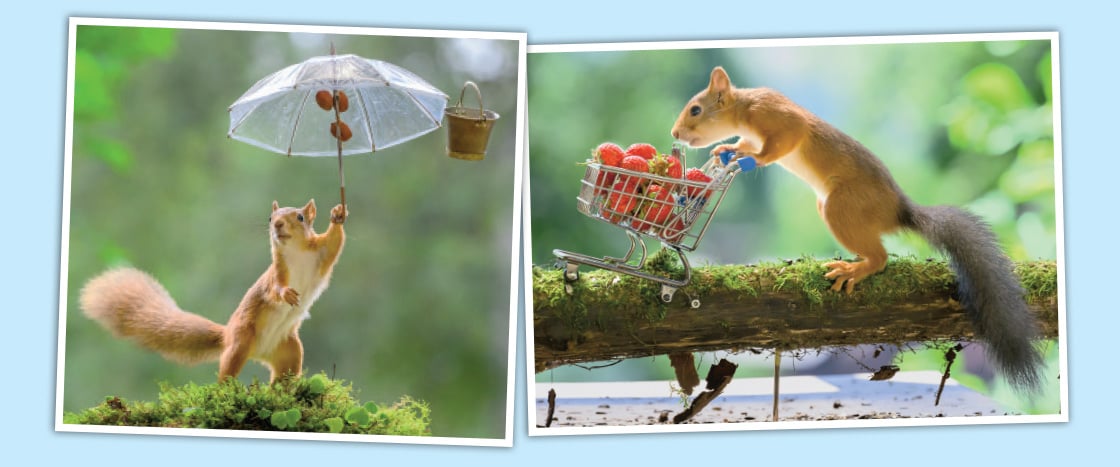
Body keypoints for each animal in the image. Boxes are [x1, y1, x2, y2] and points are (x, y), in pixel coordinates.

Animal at [80, 199, 347, 383]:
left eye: (300, 217)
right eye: (271, 217)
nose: (278, 224)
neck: (296, 251)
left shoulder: (321, 255)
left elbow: (335, 243)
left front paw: (338, 215)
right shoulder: (277, 273)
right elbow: (275, 289)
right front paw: (286, 294)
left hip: (289, 351)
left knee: (284, 377)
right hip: (240, 342)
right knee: (227, 371)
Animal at [671, 66, 1044, 392]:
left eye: (695, 109)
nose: (675, 134)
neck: (744, 107)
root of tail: (897, 211)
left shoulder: (777, 117)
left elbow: (783, 141)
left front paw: (752, 160)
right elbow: (747, 144)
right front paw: (728, 149)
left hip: (840, 207)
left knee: (880, 257)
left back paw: (854, 268)